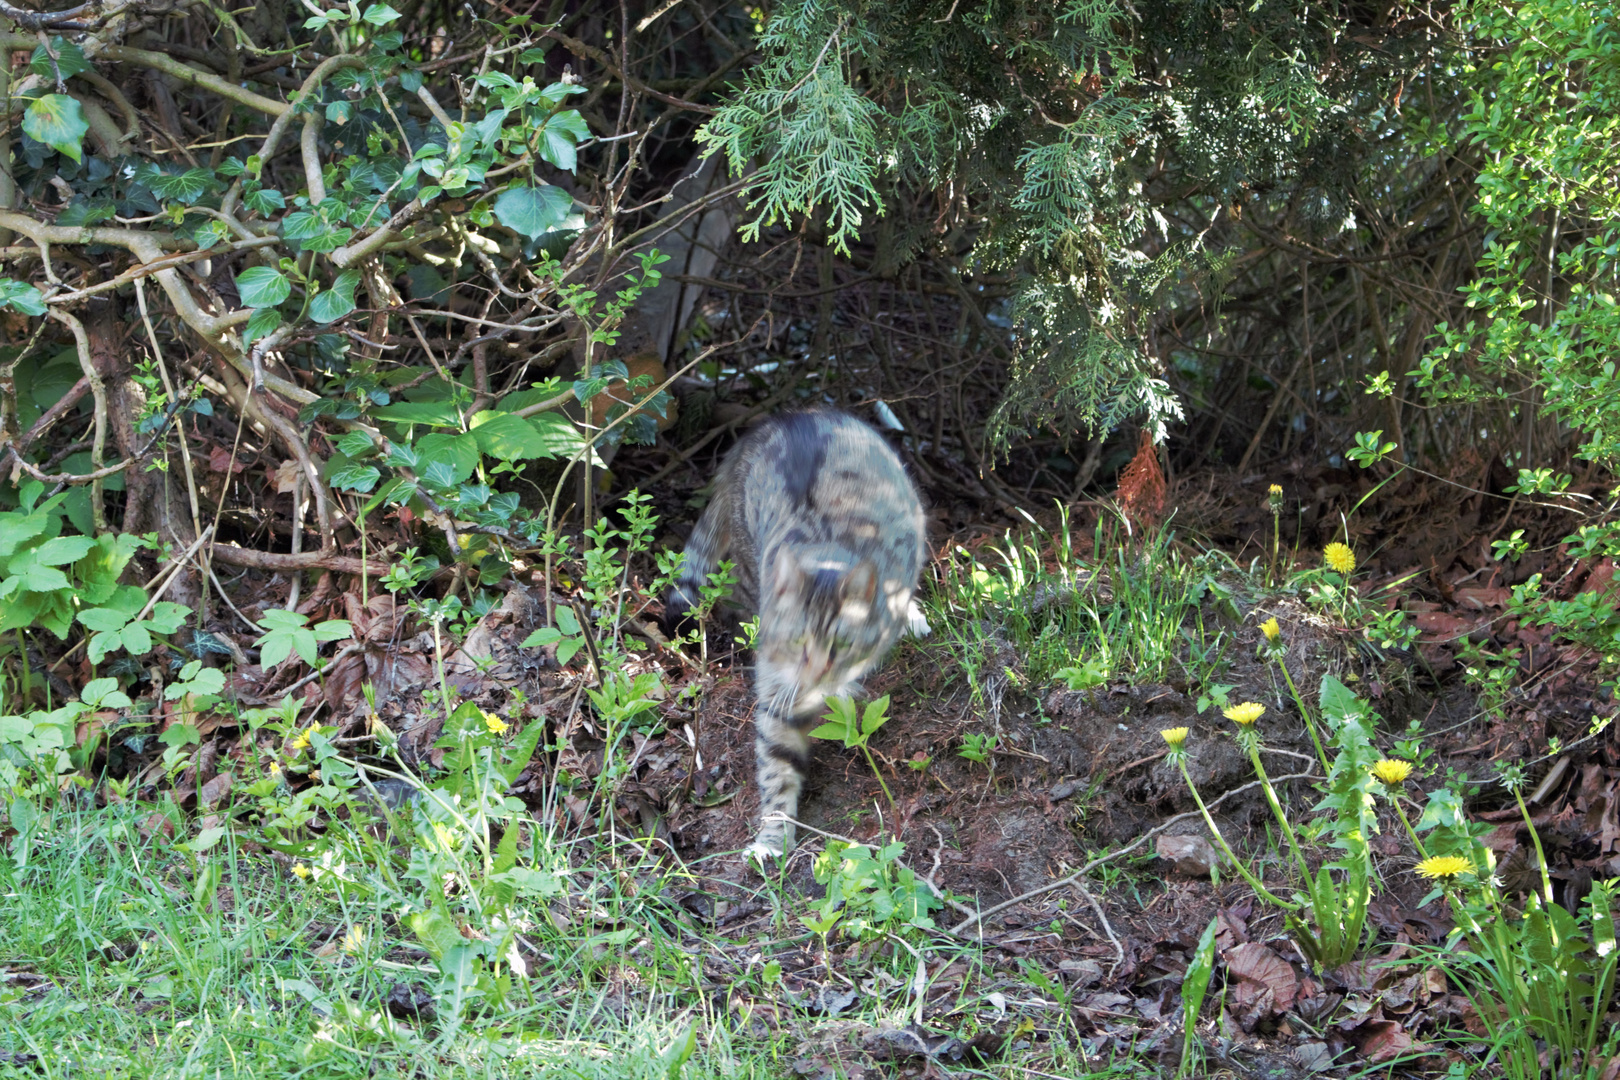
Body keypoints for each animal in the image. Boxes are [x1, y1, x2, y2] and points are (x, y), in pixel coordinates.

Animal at [667, 409, 926, 854]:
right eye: (797, 643)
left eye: (841, 645)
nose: (817, 675)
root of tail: (780, 420)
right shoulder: (777, 692)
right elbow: (777, 768)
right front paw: (772, 839)